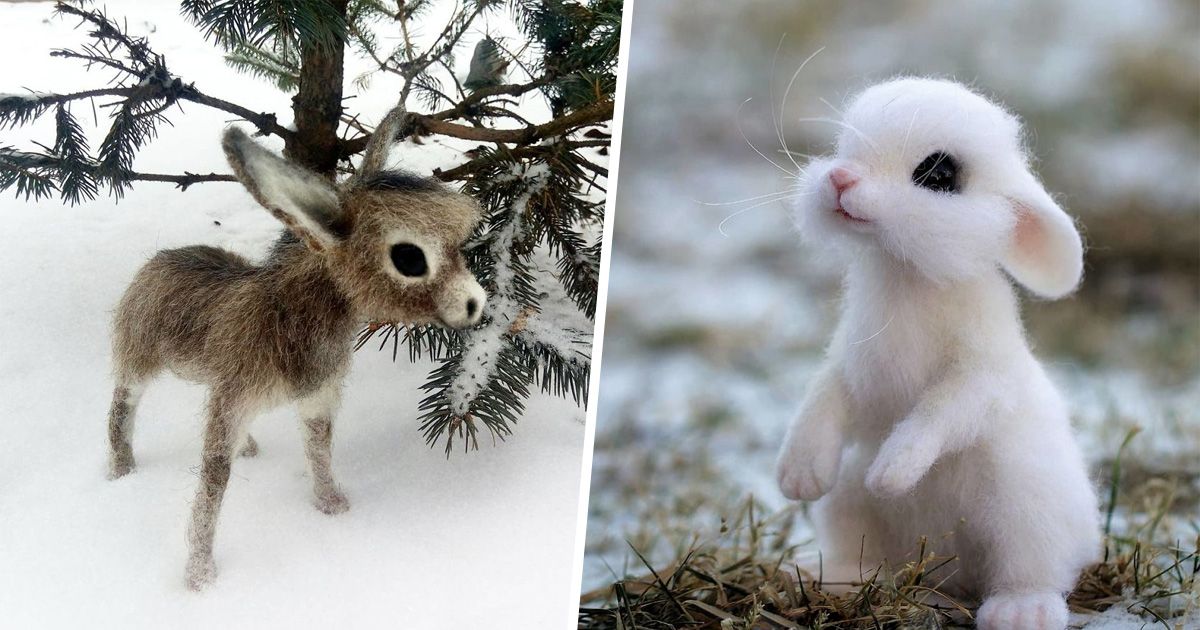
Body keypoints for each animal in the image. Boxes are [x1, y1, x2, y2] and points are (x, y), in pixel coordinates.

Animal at [777, 78, 1099, 628]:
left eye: (938, 174)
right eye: (844, 148)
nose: (840, 178)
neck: (906, 274)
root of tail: (949, 573)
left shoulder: (982, 374)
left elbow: (943, 409)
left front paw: (892, 472)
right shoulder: (847, 363)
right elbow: (821, 400)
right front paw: (798, 477)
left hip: (1027, 510)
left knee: (1032, 569)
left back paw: (1020, 611)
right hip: (846, 503)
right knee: (862, 552)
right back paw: (826, 577)